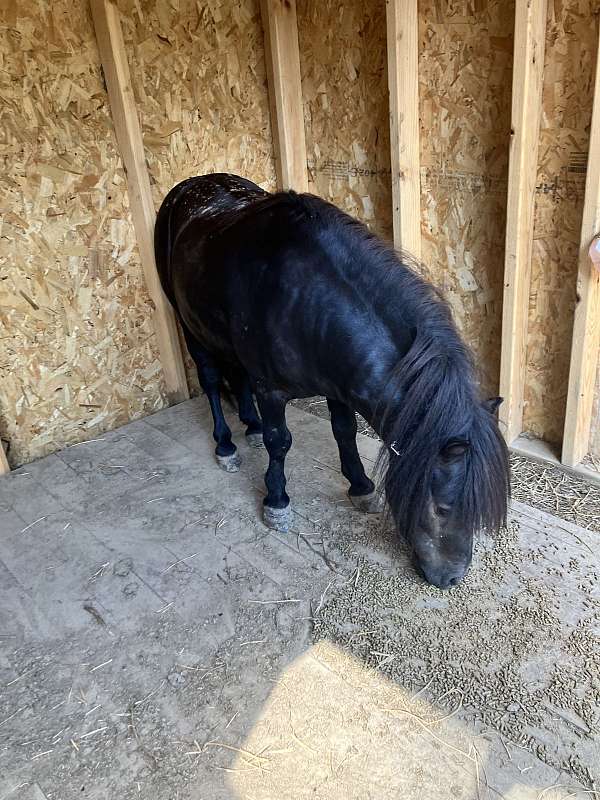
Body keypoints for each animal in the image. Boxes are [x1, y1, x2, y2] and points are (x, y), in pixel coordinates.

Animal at [155, 173, 510, 589]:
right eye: (443, 507)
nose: (452, 578)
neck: (305, 300)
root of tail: (189, 186)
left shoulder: (338, 385)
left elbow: (344, 431)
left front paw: (360, 487)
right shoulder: (270, 390)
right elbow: (280, 442)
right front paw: (277, 501)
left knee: (236, 378)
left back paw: (250, 427)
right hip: (189, 327)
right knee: (211, 383)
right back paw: (226, 445)